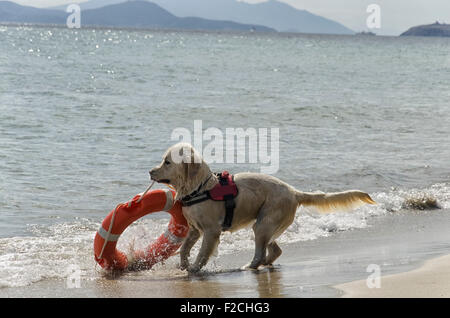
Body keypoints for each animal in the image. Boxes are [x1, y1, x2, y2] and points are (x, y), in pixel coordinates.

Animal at [149, 143, 374, 272]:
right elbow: (184, 248)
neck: (199, 188)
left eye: (167, 162)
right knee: (275, 250)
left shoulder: (211, 231)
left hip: (263, 224)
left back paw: (249, 266)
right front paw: (184, 265)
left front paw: (195, 268)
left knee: (260, 253)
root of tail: (294, 192)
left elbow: (203, 253)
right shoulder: (195, 229)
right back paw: (264, 263)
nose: (150, 171)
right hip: (267, 226)